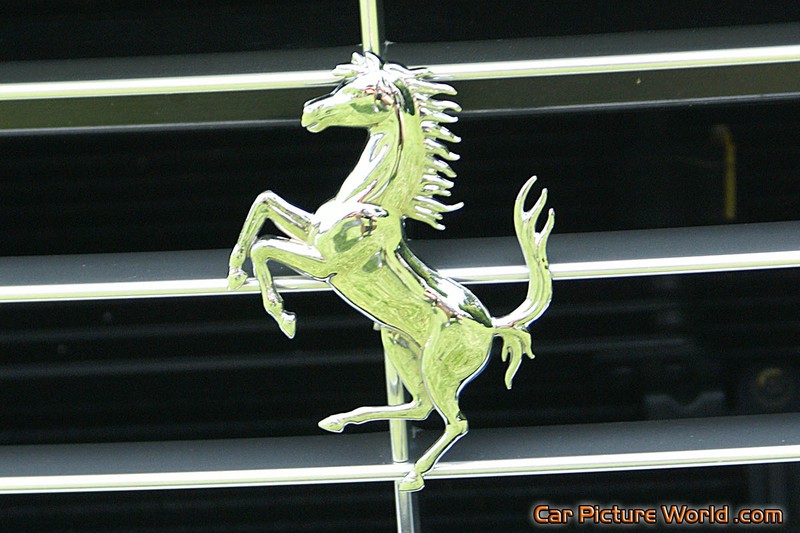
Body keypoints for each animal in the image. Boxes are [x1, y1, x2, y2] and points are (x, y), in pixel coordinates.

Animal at [227, 52, 554, 491]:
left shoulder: (326, 264)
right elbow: (263, 202)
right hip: (399, 343)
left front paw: (285, 318)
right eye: (343, 84)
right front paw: (233, 272)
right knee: (419, 407)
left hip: (439, 367)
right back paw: (340, 421)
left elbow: (265, 246)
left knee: (456, 421)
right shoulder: (311, 233)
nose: (309, 111)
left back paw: (412, 475)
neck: (372, 199)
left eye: (365, 93)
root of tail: (492, 325)